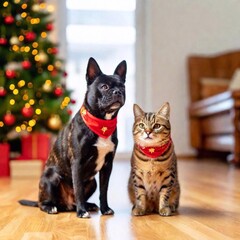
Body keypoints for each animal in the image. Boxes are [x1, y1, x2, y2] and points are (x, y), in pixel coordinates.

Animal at [19, 57, 126, 218]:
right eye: (104, 87)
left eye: (122, 87)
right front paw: (81, 212)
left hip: (92, 182)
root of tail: (66, 204)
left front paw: (105, 208)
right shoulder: (77, 163)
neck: (101, 123)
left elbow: (104, 190)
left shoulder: (107, 166)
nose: (117, 91)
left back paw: (88, 205)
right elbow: (78, 189)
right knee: (43, 203)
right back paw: (51, 207)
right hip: (52, 177)